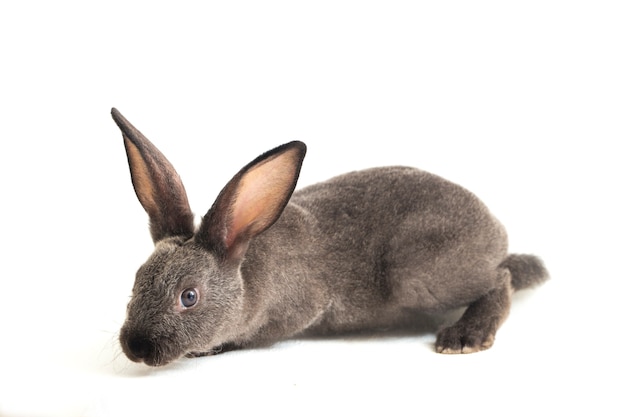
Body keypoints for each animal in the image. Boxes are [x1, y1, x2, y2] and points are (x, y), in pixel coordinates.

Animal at [111, 108, 544, 368]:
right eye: (135, 285)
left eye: (189, 297)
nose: (136, 347)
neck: (246, 275)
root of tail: (497, 236)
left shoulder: (300, 309)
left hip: (419, 276)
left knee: (500, 279)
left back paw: (466, 335)